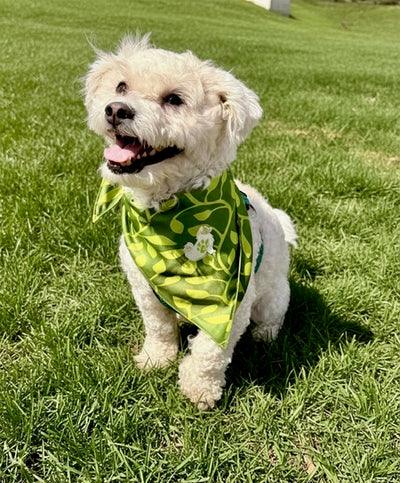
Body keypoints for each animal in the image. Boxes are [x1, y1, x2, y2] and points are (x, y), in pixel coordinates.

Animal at [84, 34, 297, 409]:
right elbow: (158, 328)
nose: (116, 109)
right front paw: (156, 359)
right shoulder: (144, 288)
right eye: (121, 86)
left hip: (272, 296)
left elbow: (210, 351)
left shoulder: (232, 306)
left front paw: (200, 388)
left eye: (174, 99)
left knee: (272, 317)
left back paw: (265, 334)